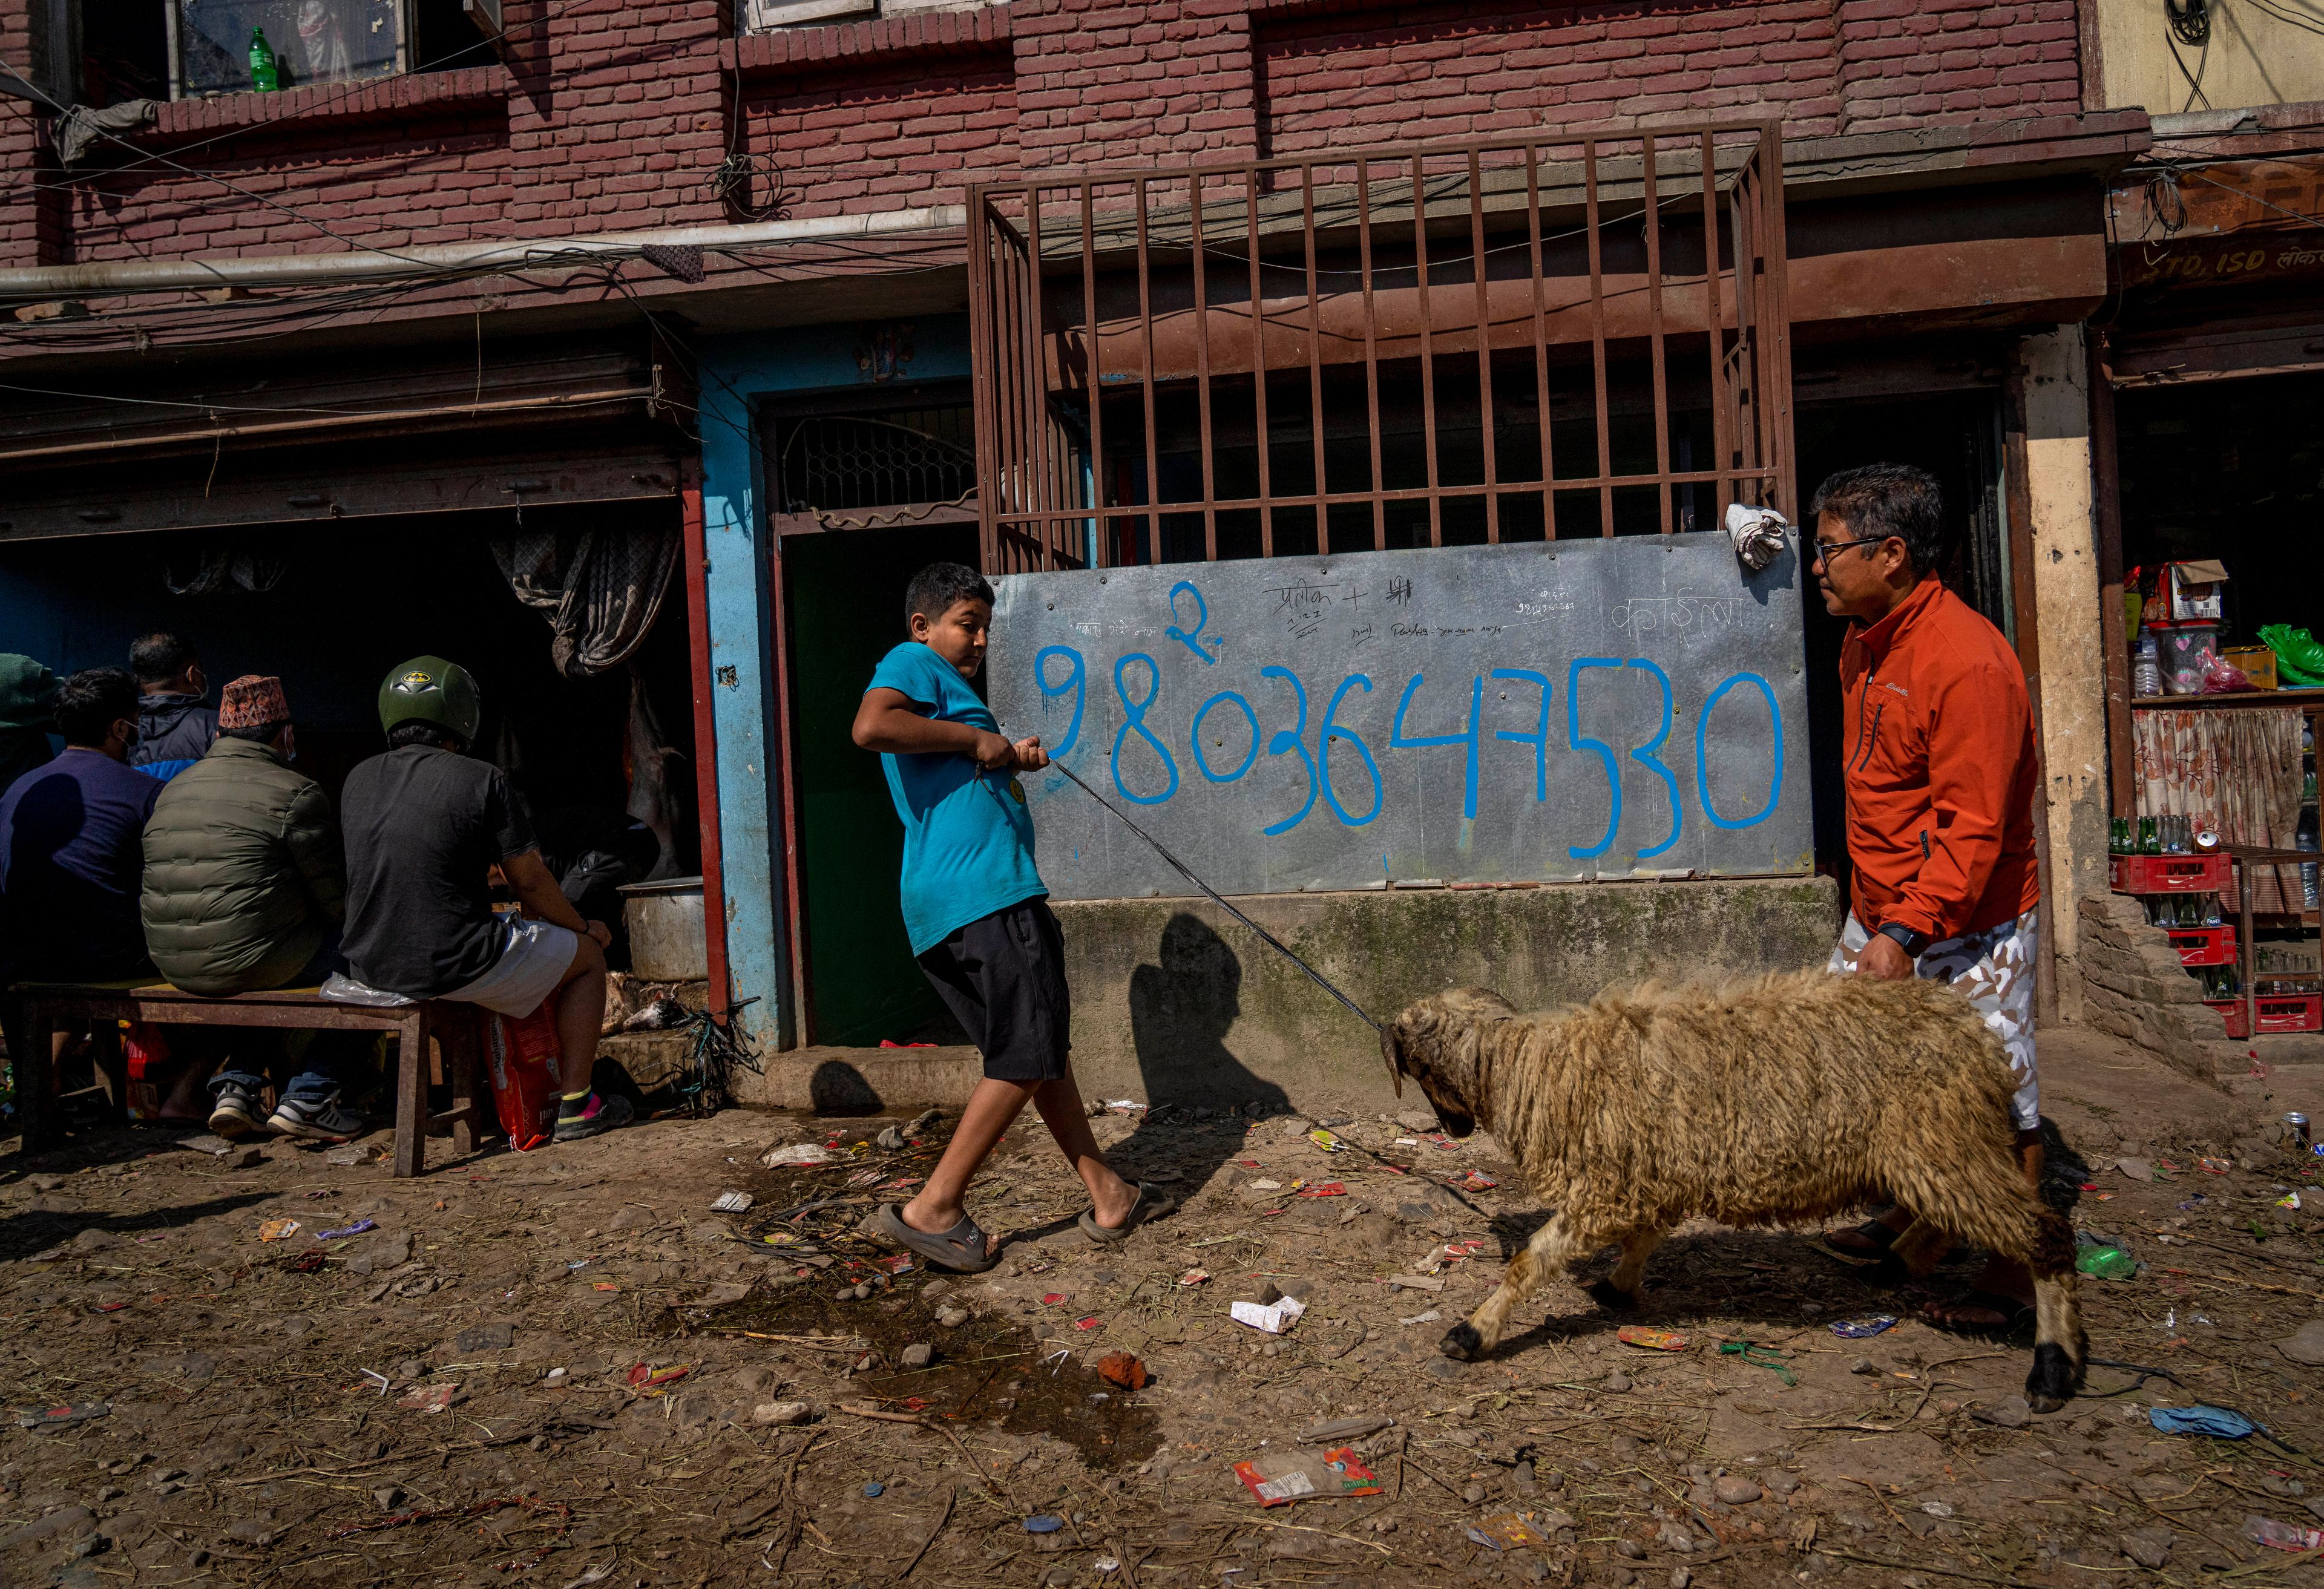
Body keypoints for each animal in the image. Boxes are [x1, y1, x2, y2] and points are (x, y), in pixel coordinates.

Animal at [1376, 966, 2092, 1412]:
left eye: (1418, 1071)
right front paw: (1618, 1287)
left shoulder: (1606, 1183)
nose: (1452, 1128)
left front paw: (1472, 1333)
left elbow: (1531, 1262)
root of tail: (1980, 1039)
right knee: (1949, 1218)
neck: (1527, 1067)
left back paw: (2052, 1369)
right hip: (1936, 1148)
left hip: (1942, 1140)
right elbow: (1646, 1232)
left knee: (2047, 1236)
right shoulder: (1653, 1170)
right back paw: (1898, 1259)